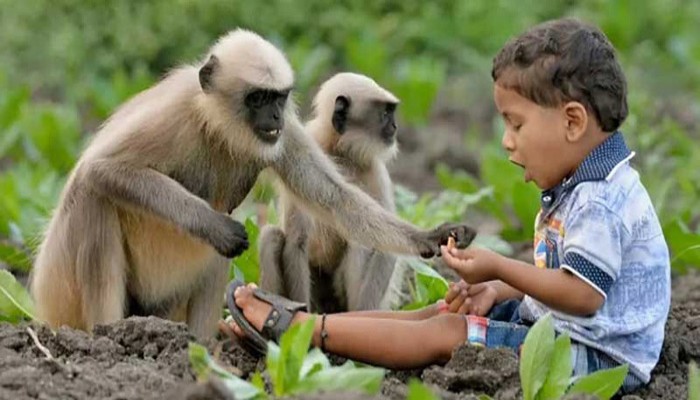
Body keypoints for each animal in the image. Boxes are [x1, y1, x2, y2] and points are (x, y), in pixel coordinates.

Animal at [260, 73, 404, 312]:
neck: (339, 151)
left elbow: (386, 245)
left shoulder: (376, 171)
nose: (394, 126)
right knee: (271, 236)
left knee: (361, 241)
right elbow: (297, 240)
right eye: (386, 113)